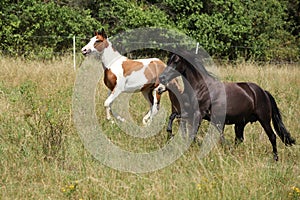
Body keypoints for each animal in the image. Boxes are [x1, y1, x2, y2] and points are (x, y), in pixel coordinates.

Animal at [159, 51, 296, 161]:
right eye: (168, 60)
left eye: (176, 61)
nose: (162, 77)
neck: (200, 87)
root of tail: (263, 92)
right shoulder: (190, 113)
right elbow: (173, 117)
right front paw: (170, 134)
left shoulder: (199, 114)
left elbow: (193, 134)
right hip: (240, 123)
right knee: (239, 139)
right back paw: (233, 152)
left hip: (264, 120)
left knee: (272, 136)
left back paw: (275, 158)